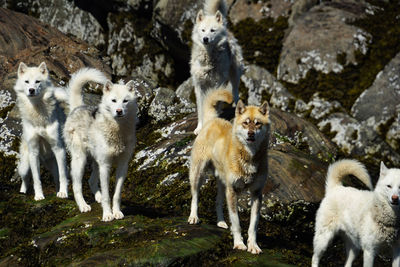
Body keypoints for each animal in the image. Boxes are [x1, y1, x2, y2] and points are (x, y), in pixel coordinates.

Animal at [14, 61, 69, 200]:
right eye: (27, 81)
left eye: (37, 81)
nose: (31, 90)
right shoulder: (34, 152)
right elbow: (36, 178)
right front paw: (39, 196)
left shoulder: (58, 149)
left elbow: (62, 176)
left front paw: (63, 193)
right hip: (26, 164)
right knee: (25, 179)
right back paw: (22, 192)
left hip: (53, 163)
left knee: (56, 177)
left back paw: (57, 191)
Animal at [63, 68, 138, 223]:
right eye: (114, 100)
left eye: (125, 101)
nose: (119, 111)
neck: (118, 131)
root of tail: (78, 107)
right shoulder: (106, 166)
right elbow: (107, 195)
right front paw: (108, 215)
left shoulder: (122, 166)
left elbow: (116, 194)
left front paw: (117, 212)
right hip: (81, 161)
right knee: (76, 186)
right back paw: (83, 206)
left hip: (96, 162)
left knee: (91, 181)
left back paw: (97, 197)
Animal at [188, 89, 268, 254]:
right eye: (245, 123)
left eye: (258, 123)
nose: (251, 134)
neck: (248, 157)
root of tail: (212, 120)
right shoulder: (232, 191)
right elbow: (236, 222)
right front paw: (239, 243)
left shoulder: (257, 193)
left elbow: (253, 225)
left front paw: (253, 245)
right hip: (198, 174)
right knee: (195, 196)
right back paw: (193, 217)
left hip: (222, 183)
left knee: (218, 201)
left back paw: (221, 222)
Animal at [191, 0, 244, 135]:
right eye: (203, 30)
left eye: (212, 30)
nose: (205, 39)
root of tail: (227, 30)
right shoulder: (199, 87)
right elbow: (201, 109)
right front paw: (199, 128)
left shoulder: (216, 84)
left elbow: (214, 103)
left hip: (234, 75)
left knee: (235, 92)